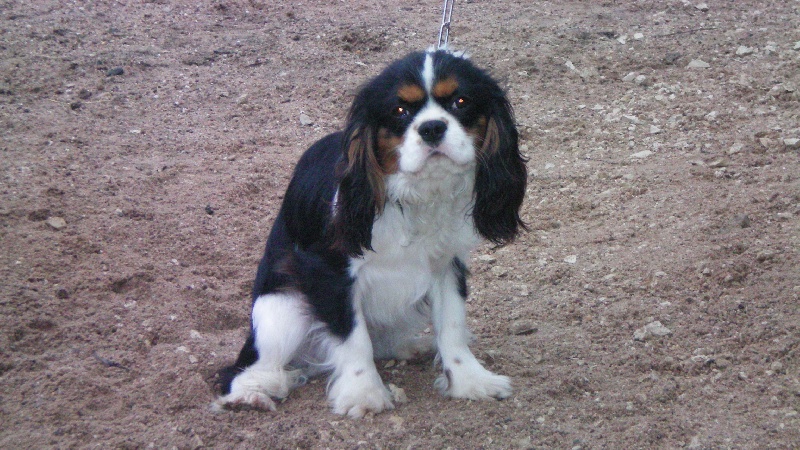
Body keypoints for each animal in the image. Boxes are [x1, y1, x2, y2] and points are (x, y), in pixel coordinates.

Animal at [214, 49, 527, 417]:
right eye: (399, 111)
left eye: (460, 101)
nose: (432, 127)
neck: (413, 194)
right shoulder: (329, 270)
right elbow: (353, 337)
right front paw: (363, 393)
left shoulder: (446, 265)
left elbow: (452, 325)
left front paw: (470, 381)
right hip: (281, 308)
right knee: (243, 370)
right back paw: (254, 392)